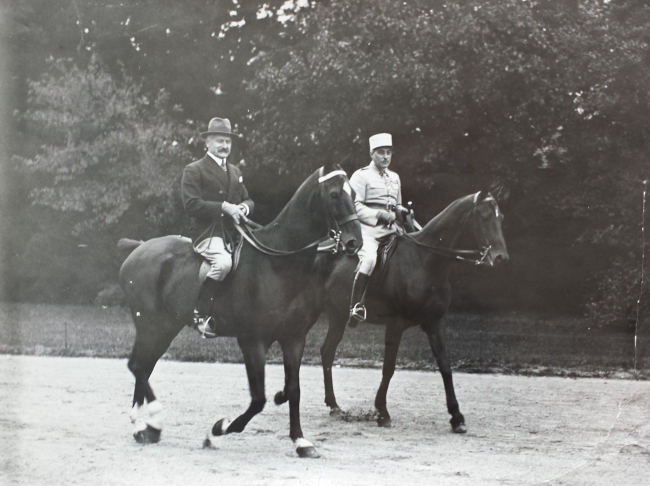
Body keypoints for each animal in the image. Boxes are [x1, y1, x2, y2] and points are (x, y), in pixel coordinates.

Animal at [116, 162, 360, 456]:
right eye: (334, 194)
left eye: (353, 192)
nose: (354, 242)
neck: (277, 263)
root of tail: (140, 248)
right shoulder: (252, 341)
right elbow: (258, 399)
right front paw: (218, 431)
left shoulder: (294, 339)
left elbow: (293, 389)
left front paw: (300, 440)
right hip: (152, 326)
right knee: (138, 366)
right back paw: (152, 421)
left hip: (165, 327)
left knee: (144, 366)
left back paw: (143, 427)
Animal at [280, 191, 508, 432]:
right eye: (484, 217)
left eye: (500, 217)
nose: (501, 258)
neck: (425, 260)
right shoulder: (395, 325)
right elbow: (388, 368)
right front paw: (382, 412)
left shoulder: (434, 324)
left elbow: (445, 366)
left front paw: (457, 417)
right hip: (308, 309)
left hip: (338, 315)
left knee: (327, 351)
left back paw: (333, 405)